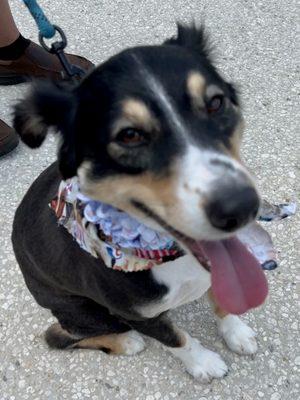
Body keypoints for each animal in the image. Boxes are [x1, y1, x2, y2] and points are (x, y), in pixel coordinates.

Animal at [11, 24, 268, 382]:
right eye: (129, 135)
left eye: (216, 103)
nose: (241, 207)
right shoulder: (137, 314)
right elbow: (176, 338)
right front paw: (202, 362)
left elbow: (222, 297)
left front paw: (235, 330)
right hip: (88, 312)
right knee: (58, 335)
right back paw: (126, 341)